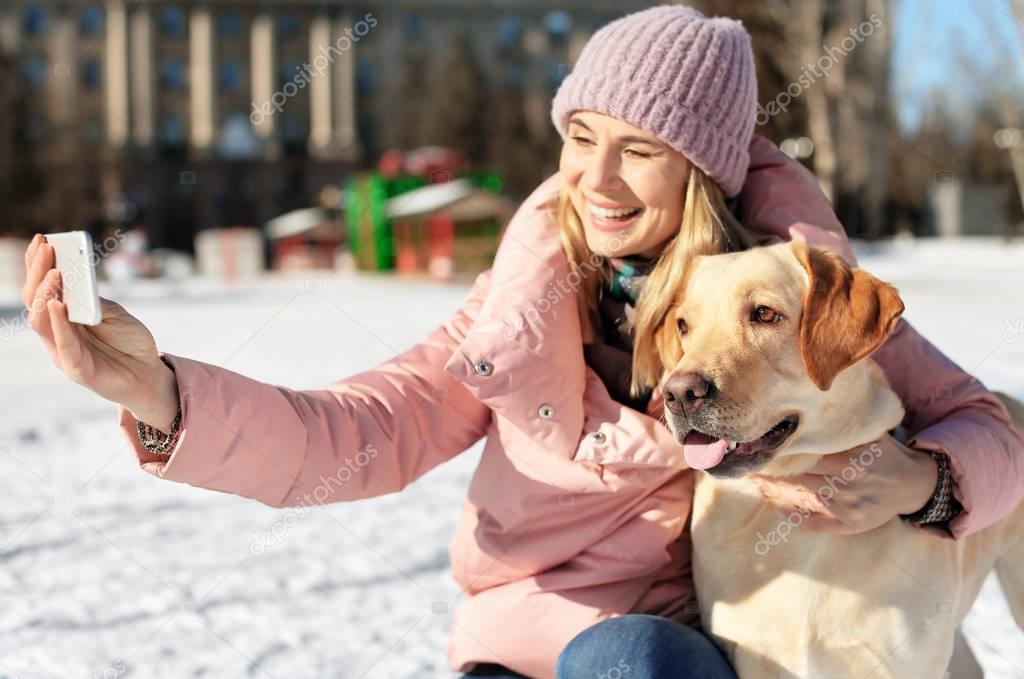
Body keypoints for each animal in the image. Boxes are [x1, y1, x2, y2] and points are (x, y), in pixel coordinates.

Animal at [651, 242, 1019, 679]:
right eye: (684, 325)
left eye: (765, 314)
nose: (678, 394)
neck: (789, 518)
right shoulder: (754, 655)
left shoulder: (904, 661)